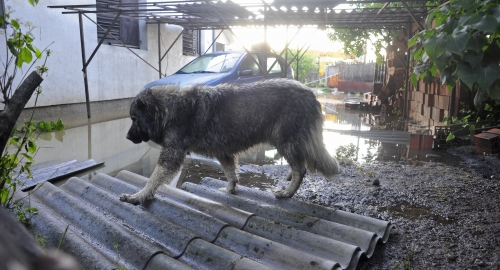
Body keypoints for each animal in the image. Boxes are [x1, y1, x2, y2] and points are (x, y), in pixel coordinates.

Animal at [120, 78, 340, 205]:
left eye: (134, 118)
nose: (127, 137)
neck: (168, 110)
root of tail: (311, 94)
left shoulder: (172, 153)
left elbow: (153, 178)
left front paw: (138, 196)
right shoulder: (224, 153)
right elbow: (230, 172)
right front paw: (230, 189)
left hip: (285, 142)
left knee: (300, 169)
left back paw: (287, 192)